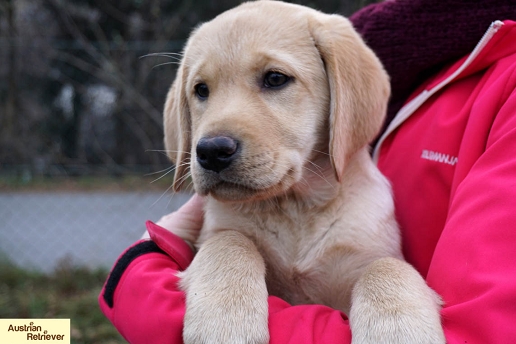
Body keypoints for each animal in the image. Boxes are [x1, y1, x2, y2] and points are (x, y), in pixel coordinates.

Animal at [164, 1, 444, 342]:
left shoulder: (368, 254)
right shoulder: (214, 233)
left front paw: (397, 330)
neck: (295, 209)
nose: (211, 151)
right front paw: (226, 321)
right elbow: (229, 241)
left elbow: (386, 267)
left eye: (275, 79)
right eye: (201, 90)